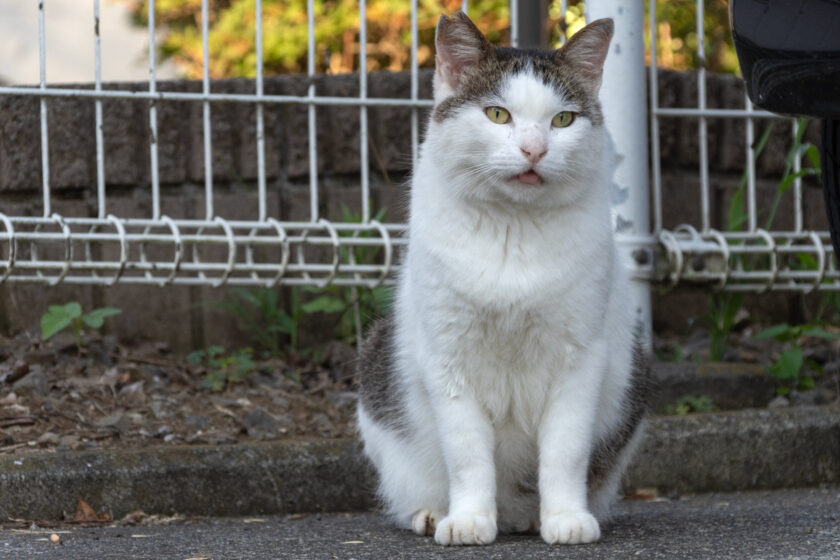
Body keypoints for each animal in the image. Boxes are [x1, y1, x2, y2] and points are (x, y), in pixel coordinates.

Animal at [354, 10, 648, 548]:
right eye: (497, 115)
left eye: (563, 120)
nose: (534, 149)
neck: (514, 231)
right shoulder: (448, 358)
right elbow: (468, 454)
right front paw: (468, 520)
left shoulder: (580, 357)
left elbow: (565, 451)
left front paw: (565, 519)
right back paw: (435, 514)